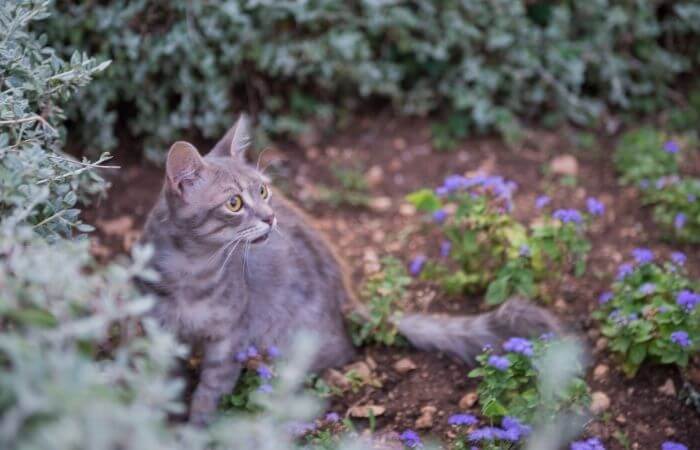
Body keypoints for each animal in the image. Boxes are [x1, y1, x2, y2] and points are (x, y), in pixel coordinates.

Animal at [139, 114, 560, 424]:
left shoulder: (229, 341)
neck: (194, 272)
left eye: (262, 191)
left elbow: (208, 396)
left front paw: (195, 430)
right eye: (234, 203)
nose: (271, 217)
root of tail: (346, 297)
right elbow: (164, 389)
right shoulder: (160, 334)